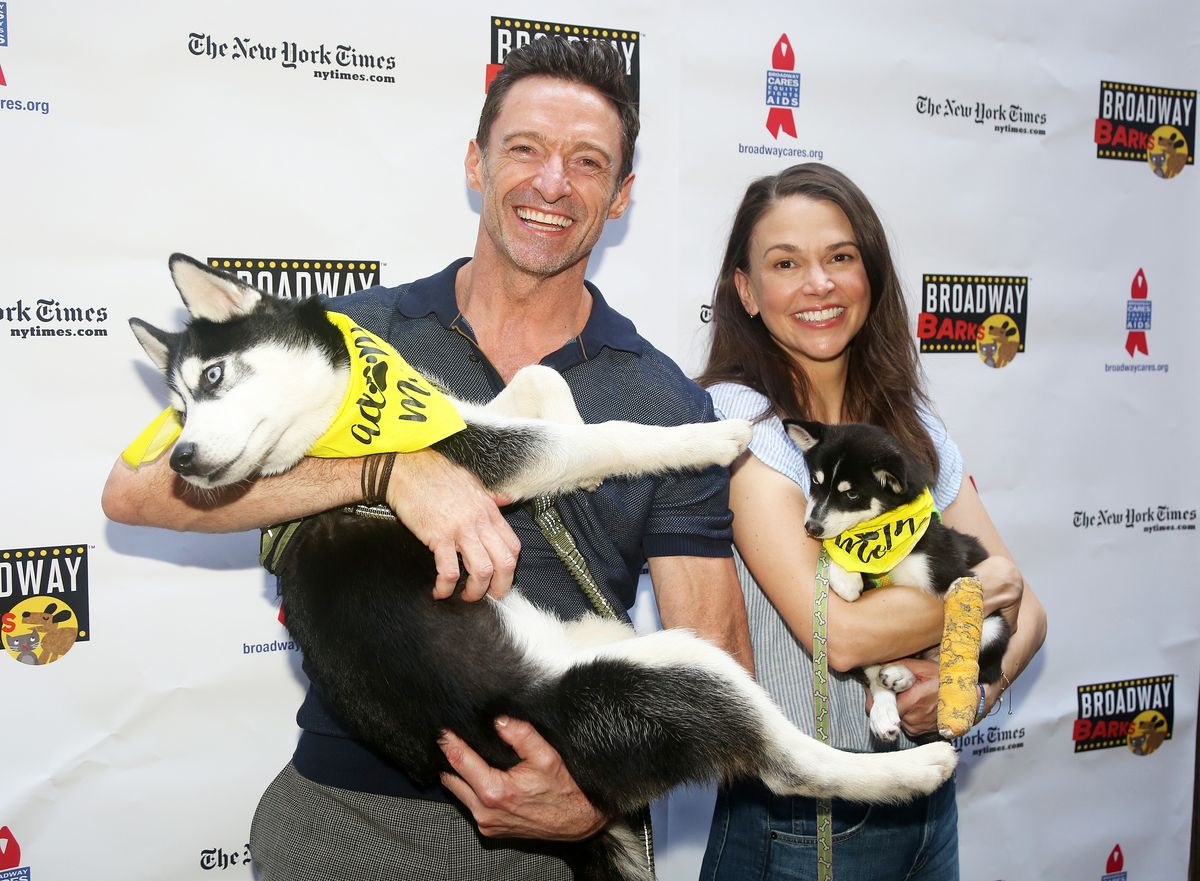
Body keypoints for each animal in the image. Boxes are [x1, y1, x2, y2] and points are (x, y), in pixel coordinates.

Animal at [129, 253, 955, 878]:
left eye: (208, 381)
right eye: (178, 408)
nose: (181, 459)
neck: (346, 422)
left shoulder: (479, 420)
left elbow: (540, 380)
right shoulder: (488, 455)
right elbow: (604, 436)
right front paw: (706, 437)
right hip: (672, 674)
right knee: (786, 763)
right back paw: (911, 768)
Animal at [782, 420, 1008, 744]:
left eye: (852, 495)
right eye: (815, 481)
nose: (811, 528)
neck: (884, 537)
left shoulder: (954, 574)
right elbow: (842, 552)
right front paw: (845, 576)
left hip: (994, 629)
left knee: (965, 666)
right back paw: (891, 694)